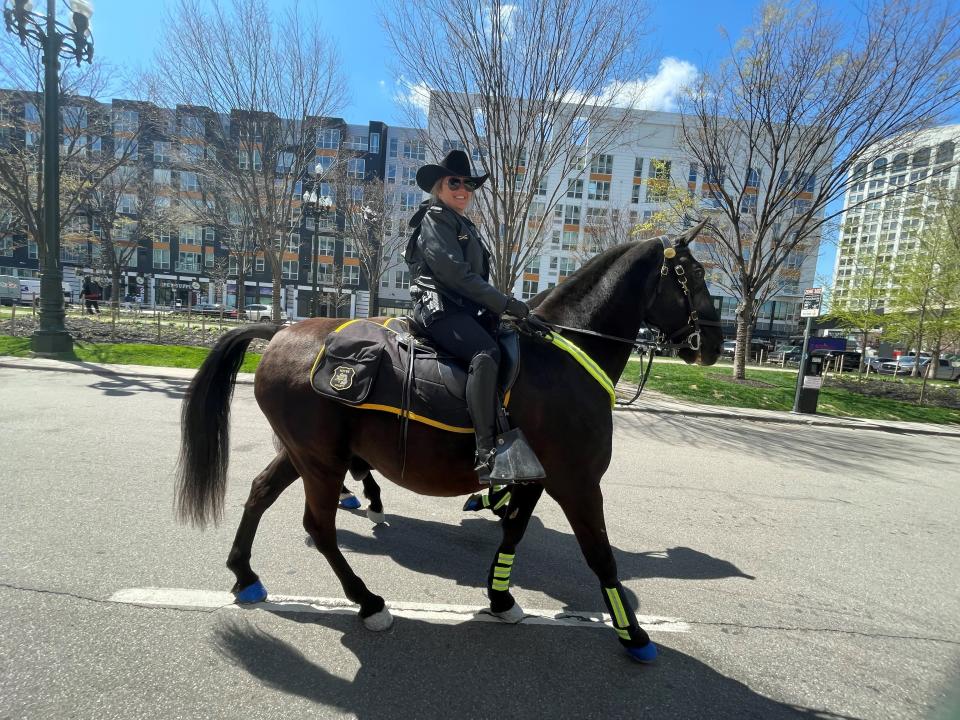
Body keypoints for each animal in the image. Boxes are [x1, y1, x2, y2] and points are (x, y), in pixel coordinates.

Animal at [174, 226, 720, 664]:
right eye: (692, 275)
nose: (714, 344)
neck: (562, 357)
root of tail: (279, 331)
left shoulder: (534, 477)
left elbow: (514, 534)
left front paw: (501, 598)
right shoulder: (577, 481)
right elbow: (601, 556)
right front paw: (634, 634)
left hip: (303, 455)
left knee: (260, 493)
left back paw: (245, 574)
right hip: (320, 461)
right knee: (319, 526)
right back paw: (367, 601)